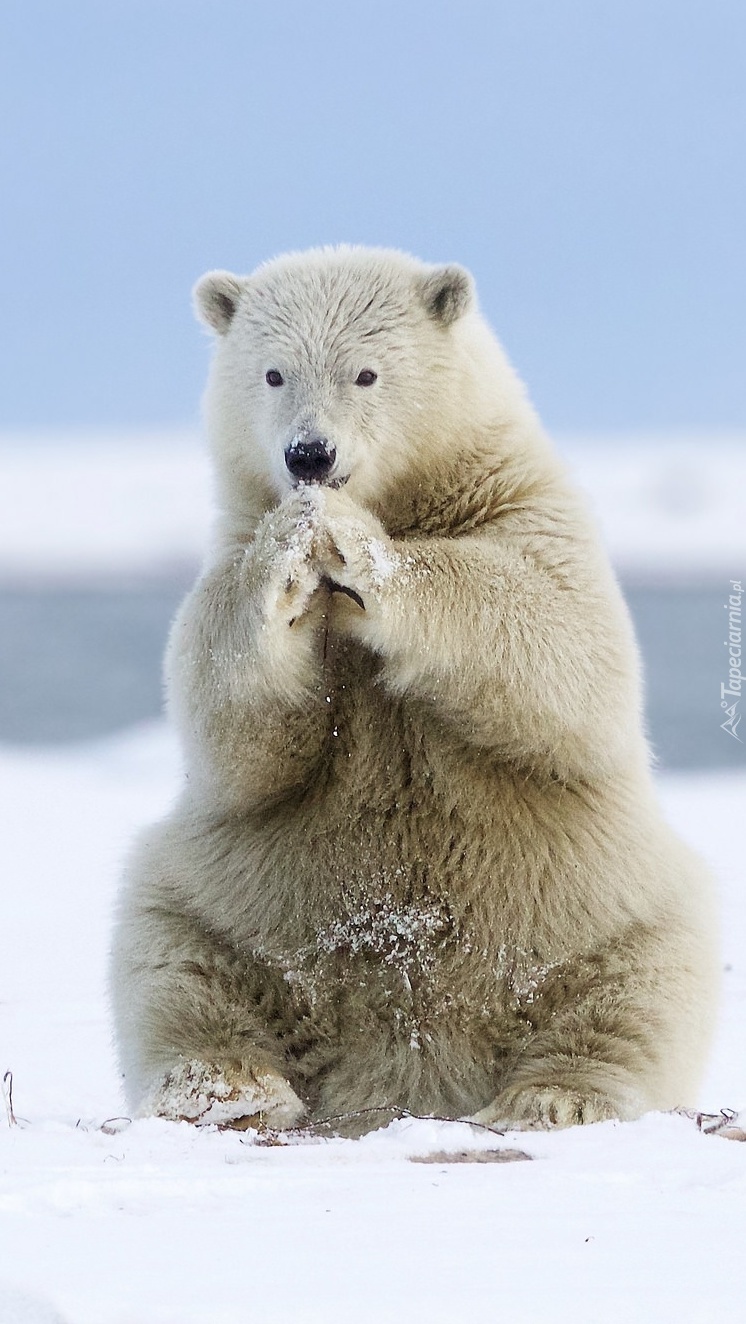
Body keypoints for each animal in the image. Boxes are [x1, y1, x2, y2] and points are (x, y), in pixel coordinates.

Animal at [109, 246, 715, 1128]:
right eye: (273, 372)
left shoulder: (526, 512)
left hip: (597, 901)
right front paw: (293, 549)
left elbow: (559, 639)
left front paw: (355, 545)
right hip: (234, 897)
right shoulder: (227, 547)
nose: (309, 455)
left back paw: (555, 1094)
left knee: (640, 983)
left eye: (366, 373)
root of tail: (406, 1075)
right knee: (176, 956)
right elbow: (230, 720)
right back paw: (226, 1086)